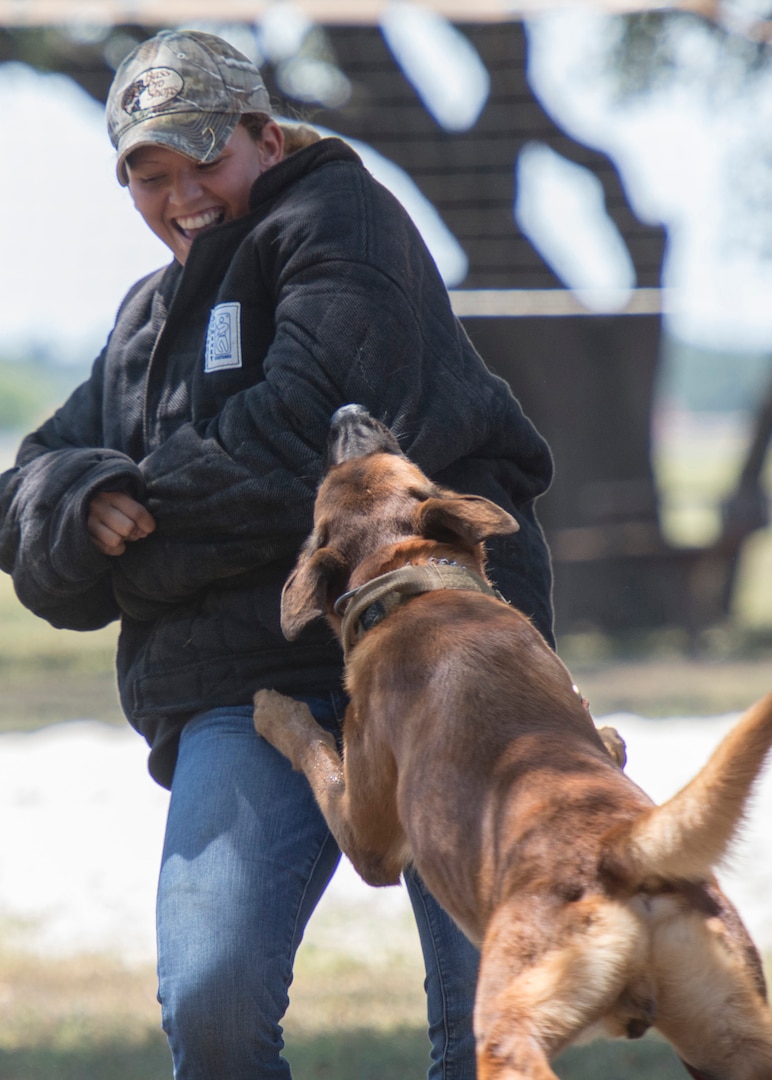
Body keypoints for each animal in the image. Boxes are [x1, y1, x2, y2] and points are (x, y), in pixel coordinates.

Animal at [253, 406, 772, 1080]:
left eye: (332, 485)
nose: (348, 412)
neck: (410, 586)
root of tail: (620, 852)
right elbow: (610, 736)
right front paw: (613, 736)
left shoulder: (368, 841)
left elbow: (316, 751)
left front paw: (274, 710)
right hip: (736, 1039)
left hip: (508, 1032)